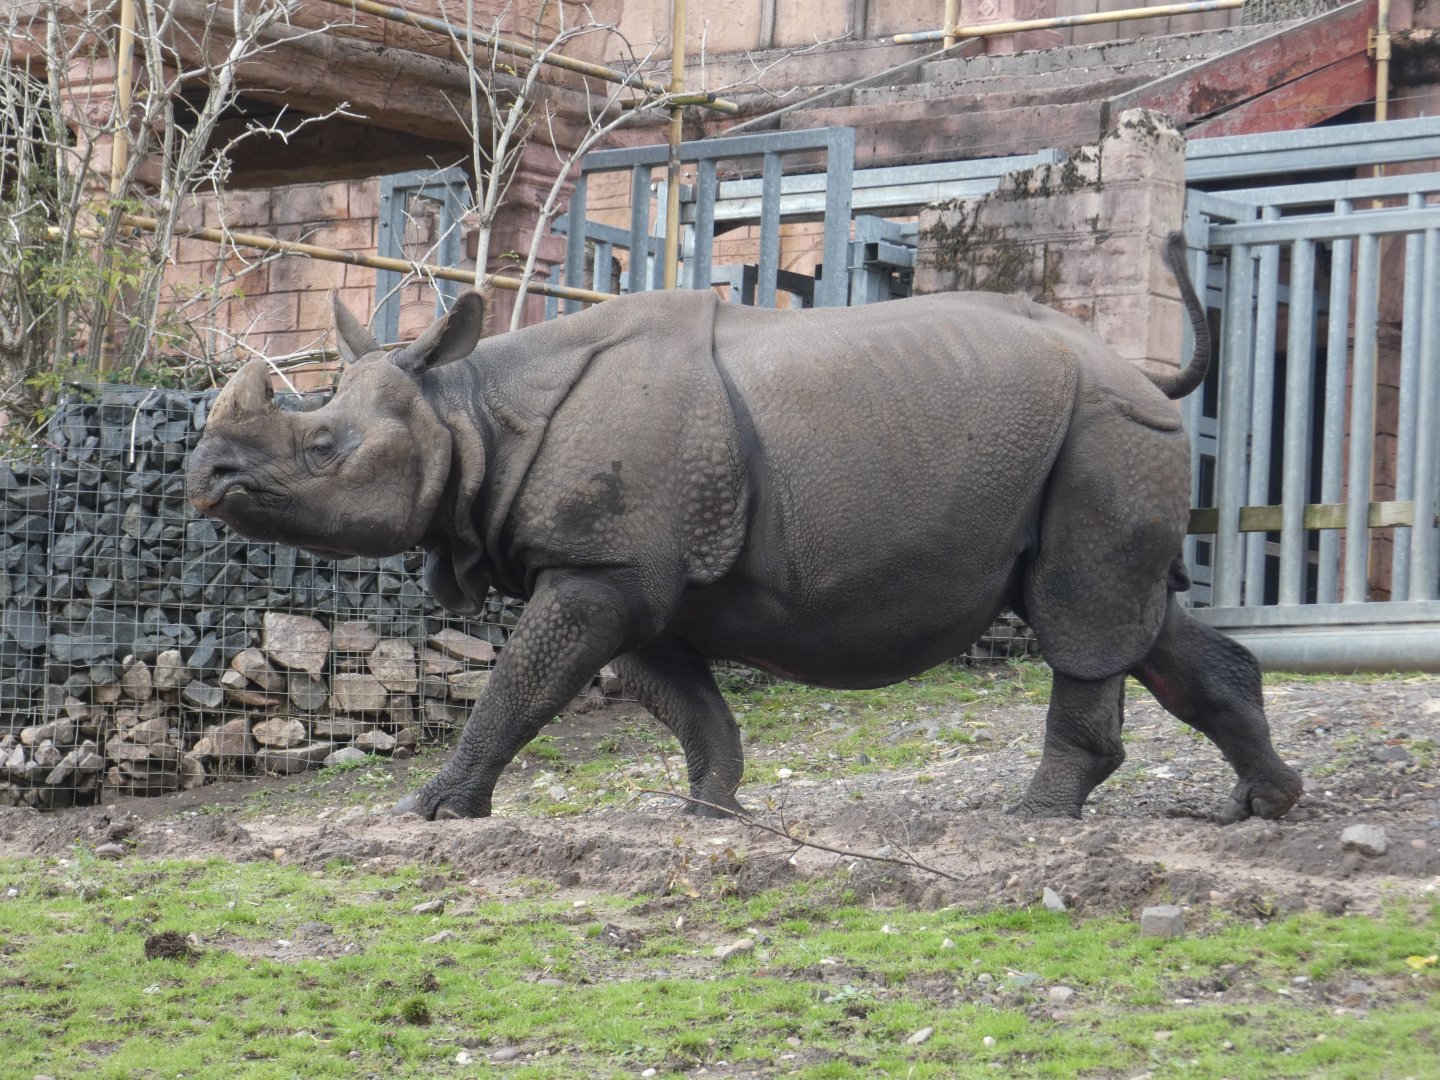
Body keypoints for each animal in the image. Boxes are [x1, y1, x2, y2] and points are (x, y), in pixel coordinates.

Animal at [187, 233, 1302, 824]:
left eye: (322, 446)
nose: (205, 477)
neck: (470, 413)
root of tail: (1143, 372)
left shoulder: (601, 566)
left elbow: (519, 686)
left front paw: (430, 811)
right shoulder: (636, 578)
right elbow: (685, 704)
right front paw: (710, 812)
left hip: (1103, 430)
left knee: (1081, 616)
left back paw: (1036, 820)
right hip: (1099, 433)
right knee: (1134, 619)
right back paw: (1267, 806)